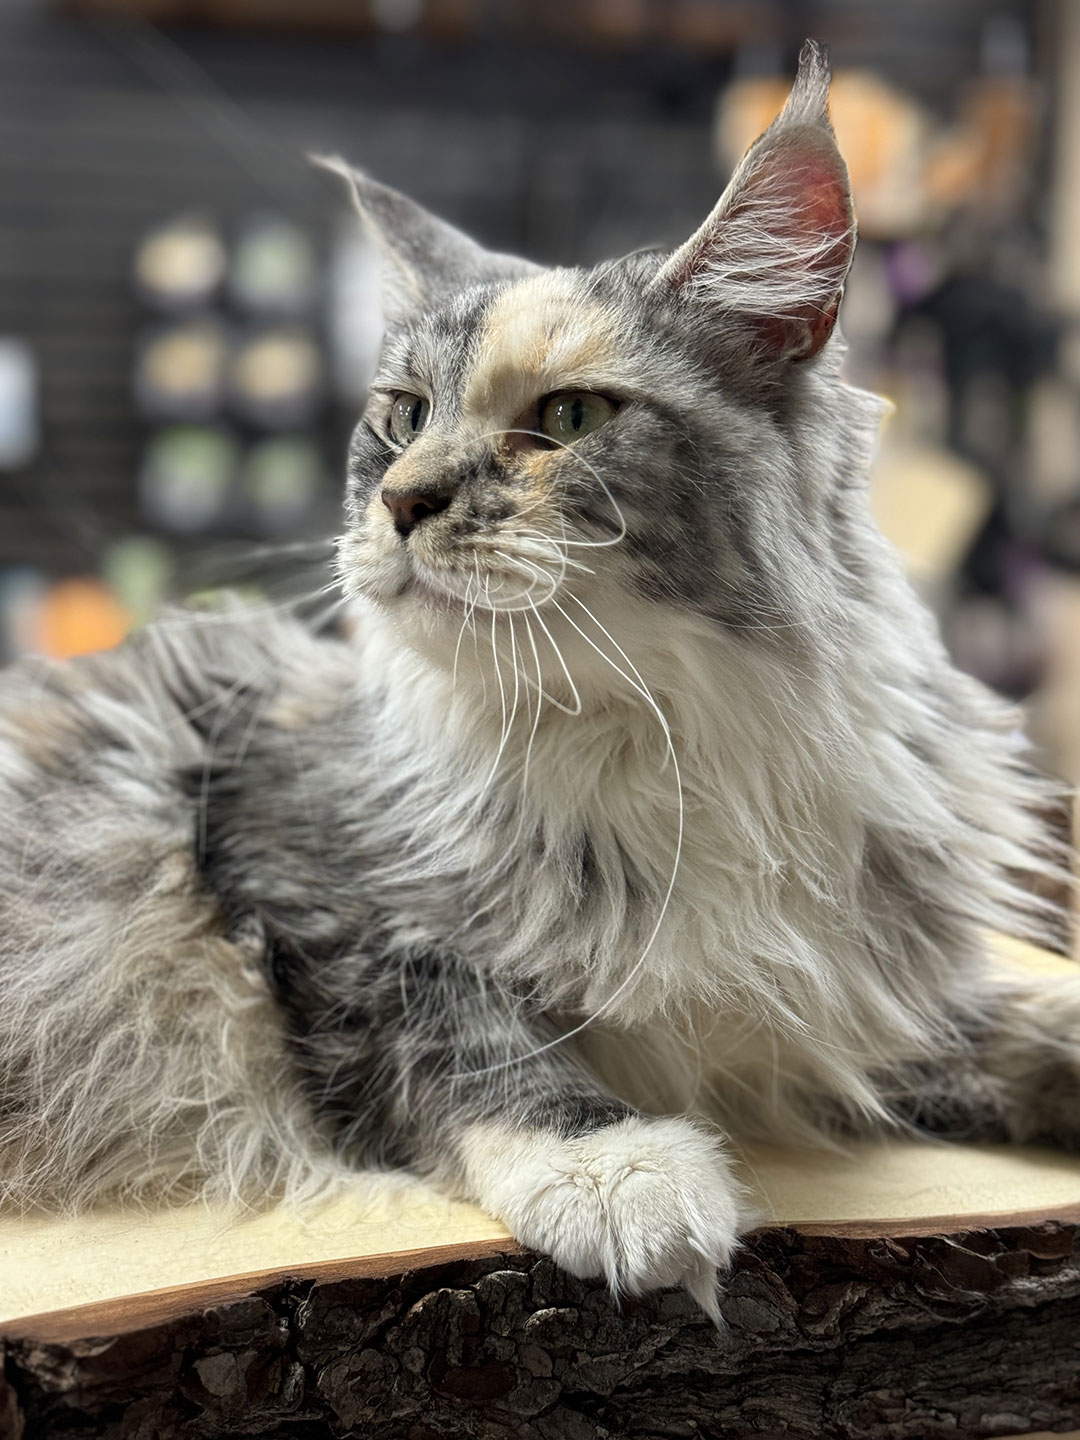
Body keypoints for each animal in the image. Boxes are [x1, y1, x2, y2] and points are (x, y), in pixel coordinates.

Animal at [0, 42, 1076, 1322]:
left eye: (567, 416)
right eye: (401, 416)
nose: (400, 500)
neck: (659, 740)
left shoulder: (854, 991)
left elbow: (1011, 1024)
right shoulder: (284, 872)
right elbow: (468, 1034)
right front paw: (620, 1173)